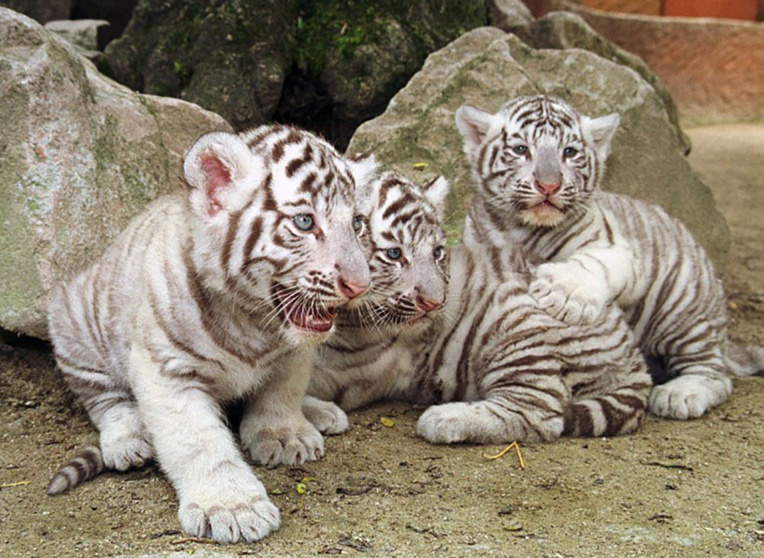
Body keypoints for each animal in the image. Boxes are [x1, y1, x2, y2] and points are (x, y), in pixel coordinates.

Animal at [46, 125, 376, 543]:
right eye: (304, 222)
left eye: (357, 224)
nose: (359, 285)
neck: (254, 322)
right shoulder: (167, 370)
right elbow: (198, 442)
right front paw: (232, 506)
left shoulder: (295, 354)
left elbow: (282, 391)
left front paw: (285, 434)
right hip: (75, 324)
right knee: (105, 399)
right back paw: (128, 440)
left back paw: (320, 411)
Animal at [304, 170, 652, 444]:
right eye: (393, 254)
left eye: (438, 252)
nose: (435, 303)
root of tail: (634, 357)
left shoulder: (356, 373)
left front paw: (322, 413)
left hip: (518, 332)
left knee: (538, 412)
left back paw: (444, 419)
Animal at [454, 94, 764, 421]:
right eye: (521, 150)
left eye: (569, 152)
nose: (549, 185)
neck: (525, 229)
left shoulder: (618, 248)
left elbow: (591, 261)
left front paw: (563, 292)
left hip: (681, 310)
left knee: (714, 371)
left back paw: (681, 393)